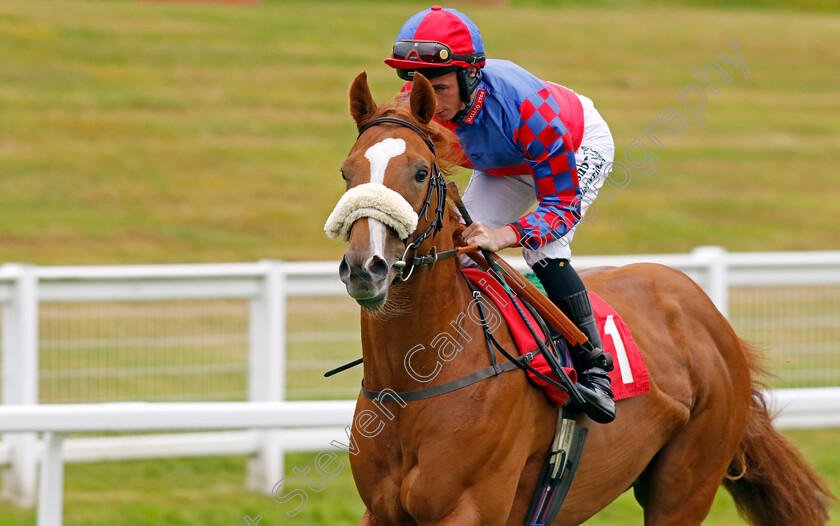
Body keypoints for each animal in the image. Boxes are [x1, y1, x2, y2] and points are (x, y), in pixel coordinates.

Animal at [330, 71, 832, 526]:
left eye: (419, 172)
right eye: (346, 172)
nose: (365, 267)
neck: (416, 378)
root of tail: (706, 310)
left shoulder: (469, 509)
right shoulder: (380, 513)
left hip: (686, 485)